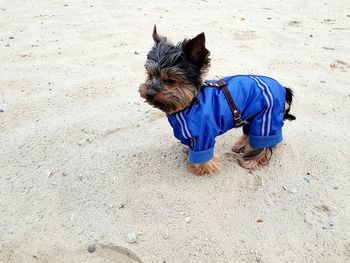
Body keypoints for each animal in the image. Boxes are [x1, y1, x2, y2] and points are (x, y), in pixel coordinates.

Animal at [138, 26, 294, 175]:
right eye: (150, 75)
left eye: (171, 81)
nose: (149, 93)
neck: (190, 105)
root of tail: (282, 88)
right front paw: (187, 151)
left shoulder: (203, 135)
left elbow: (202, 156)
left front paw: (200, 169)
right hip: (254, 116)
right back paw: (241, 146)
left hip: (267, 117)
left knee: (263, 143)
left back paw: (250, 162)